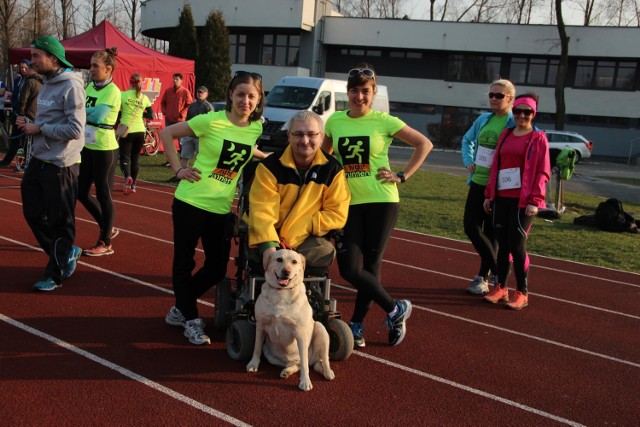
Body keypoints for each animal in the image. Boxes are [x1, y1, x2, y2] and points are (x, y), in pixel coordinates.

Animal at [246, 249, 336, 392]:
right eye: (279, 259)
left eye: (294, 261)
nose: (286, 271)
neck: (281, 293)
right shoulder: (260, 325)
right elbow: (256, 348)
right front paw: (253, 364)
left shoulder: (300, 333)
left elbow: (305, 364)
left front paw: (305, 381)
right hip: (271, 355)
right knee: (298, 364)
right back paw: (286, 371)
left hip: (320, 329)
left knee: (320, 360)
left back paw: (328, 372)